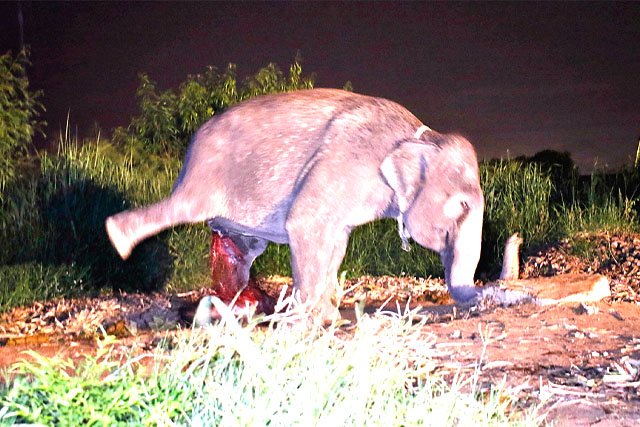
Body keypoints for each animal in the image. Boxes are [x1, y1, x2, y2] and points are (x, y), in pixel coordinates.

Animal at [106, 89, 484, 324]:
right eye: (462, 204)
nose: (481, 297)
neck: (424, 136)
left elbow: (337, 240)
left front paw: (327, 318)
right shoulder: (345, 164)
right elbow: (307, 223)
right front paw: (304, 323)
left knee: (245, 246)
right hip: (205, 177)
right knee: (182, 209)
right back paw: (117, 238)